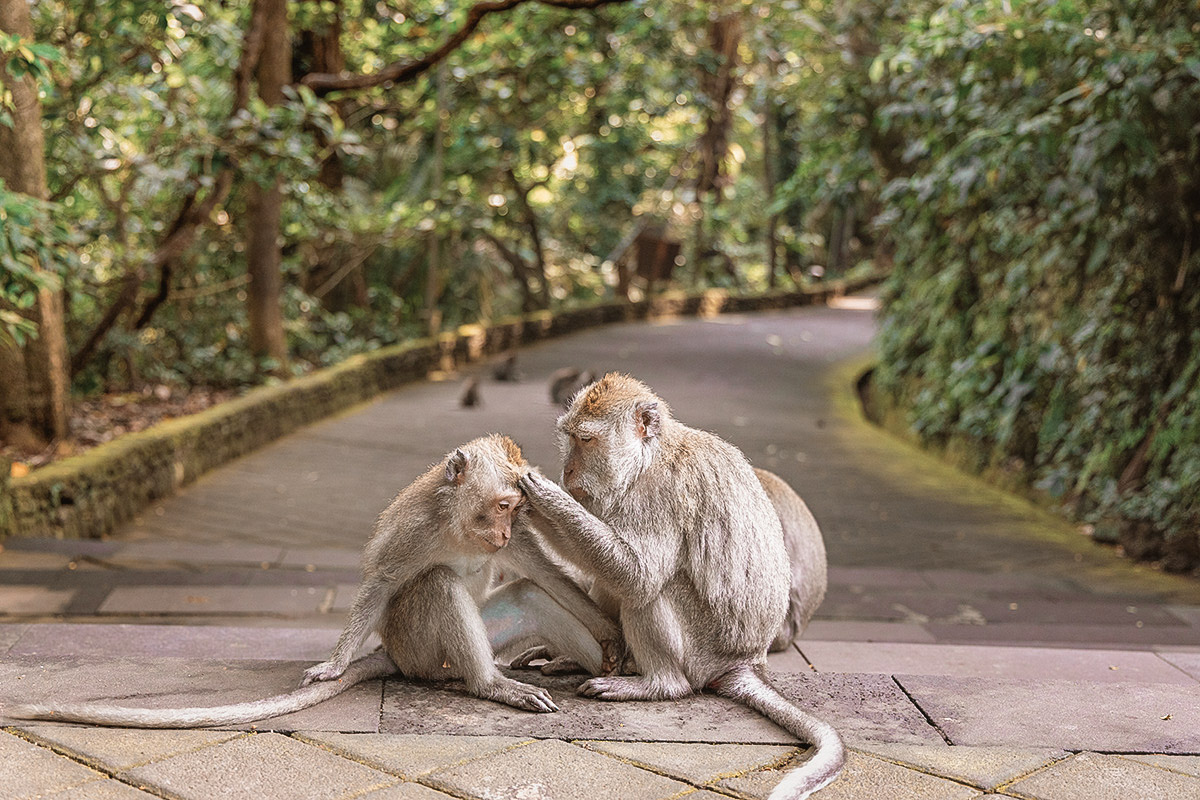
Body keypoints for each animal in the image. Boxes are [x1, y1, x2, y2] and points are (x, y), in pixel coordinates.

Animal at [6, 435, 621, 728]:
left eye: (515, 509)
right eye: (499, 504)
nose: (501, 532)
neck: (460, 527)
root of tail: (395, 657)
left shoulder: (513, 541)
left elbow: (544, 573)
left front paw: (612, 633)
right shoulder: (416, 526)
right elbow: (382, 579)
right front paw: (334, 661)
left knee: (528, 596)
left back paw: (592, 668)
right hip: (421, 652)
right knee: (437, 586)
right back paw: (488, 685)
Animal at [517, 374, 844, 800]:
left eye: (586, 440)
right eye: (569, 438)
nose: (568, 471)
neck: (648, 459)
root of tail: (745, 662)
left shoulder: (660, 495)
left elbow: (636, 575)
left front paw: (546, 497)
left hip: (703, 653)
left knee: (651, 591)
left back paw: (657, 685)